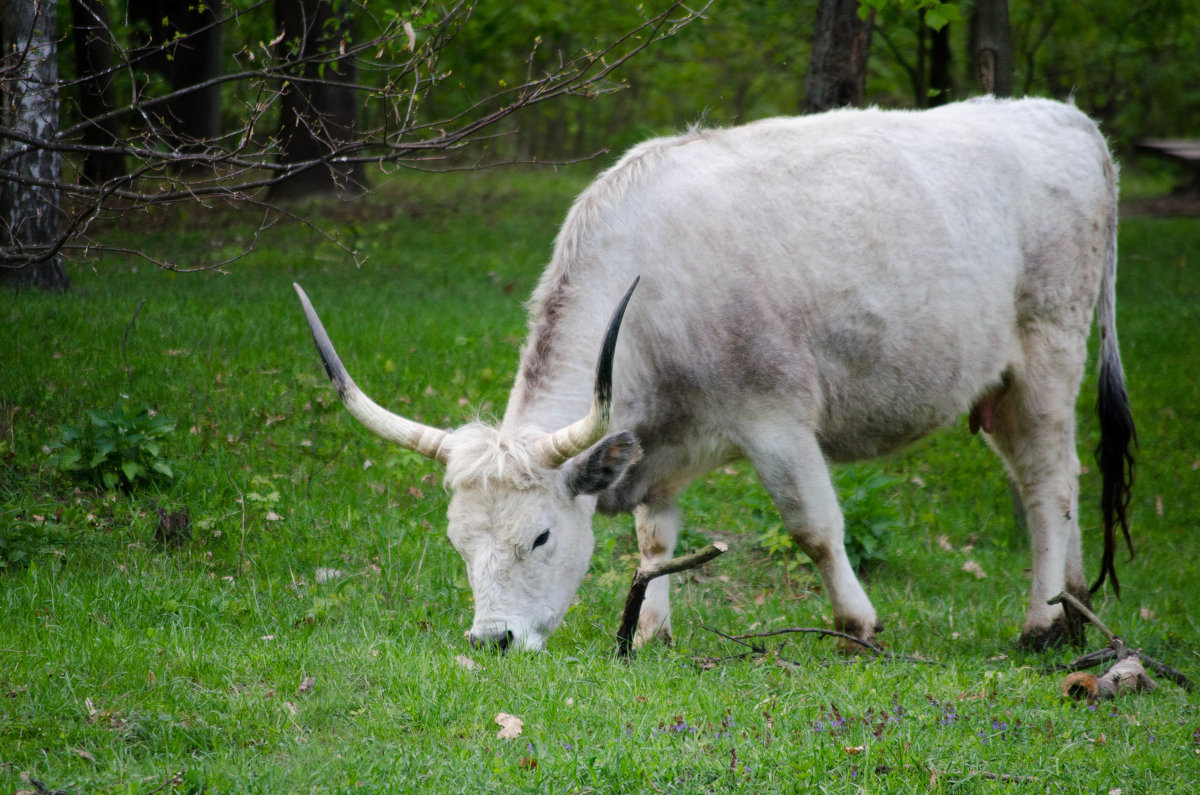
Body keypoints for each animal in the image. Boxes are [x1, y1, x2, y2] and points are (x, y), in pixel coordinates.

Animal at [297, 96, 1132, 653]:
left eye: (539, 536)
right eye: (459, 542)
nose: (491, 639)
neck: (655, 280)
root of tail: (1067, 119)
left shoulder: (777, 418)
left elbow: (815, 527)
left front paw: (856, 622)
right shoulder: (655, 442)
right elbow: (654, 539)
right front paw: (649, 632)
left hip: (1050, 350)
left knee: (1050, 479)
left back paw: (1040, 621)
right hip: (997, 385)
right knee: (1051, 480)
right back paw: (1072, 602)